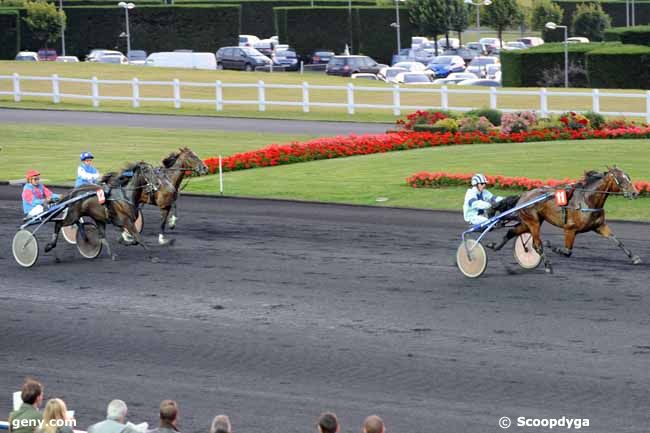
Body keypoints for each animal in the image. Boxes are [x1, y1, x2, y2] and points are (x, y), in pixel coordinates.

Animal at [486, 166, 636, 274]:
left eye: (628, 177)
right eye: (621, 179)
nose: (634, 193)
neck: (587, 200)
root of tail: (523, 195)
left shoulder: (599, 226)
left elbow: (616, 240)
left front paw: (634, 257)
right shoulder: (570, 229)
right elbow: (567, 251)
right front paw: (551, 245)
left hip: (530, 221)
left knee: (511, 232)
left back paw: (494, 245)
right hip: (533, 222)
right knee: (536, 244)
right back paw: (547, 265)